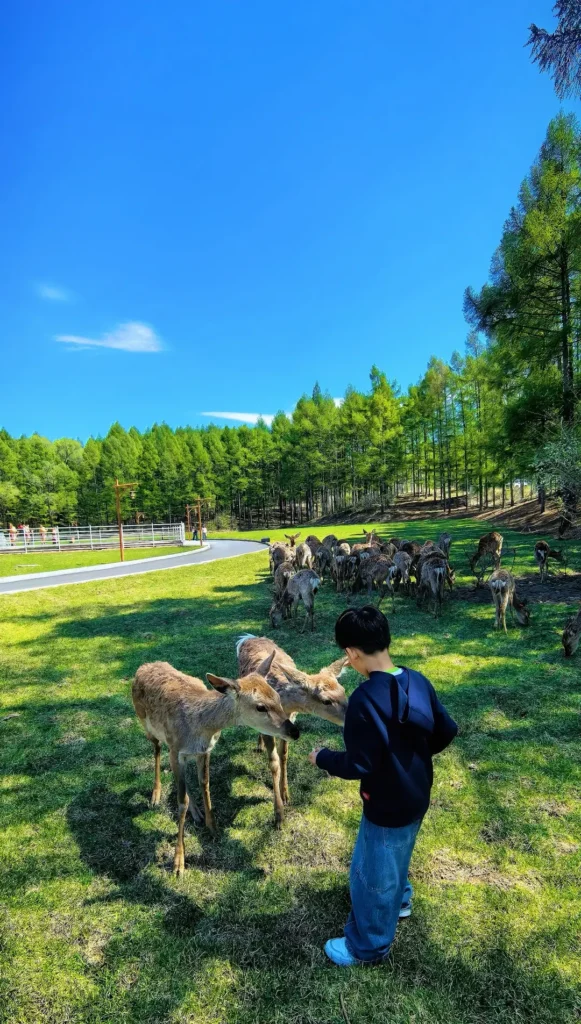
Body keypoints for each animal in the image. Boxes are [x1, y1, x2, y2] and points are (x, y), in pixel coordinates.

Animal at [132, 656, 299, 874]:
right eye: (260, 707)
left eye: (278, 698)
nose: (294, 731)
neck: (201, 727)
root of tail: (144, 666)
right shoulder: (176, 750)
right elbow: (180, 801)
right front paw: (179, 863)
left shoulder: (205, 751)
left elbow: (204, 784)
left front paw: (212, 827)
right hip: (147, 725)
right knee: (157, 751)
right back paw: (155, 796)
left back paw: (197, 813)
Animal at [236, 635, 347, 823]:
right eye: (326, 701)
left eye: (343, 690)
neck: (284, 706)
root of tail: (247, 637)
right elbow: (273, 763)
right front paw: (279, 814)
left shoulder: (290, 724)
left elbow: (284, 756)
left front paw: (286, 795)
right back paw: (259, 746)